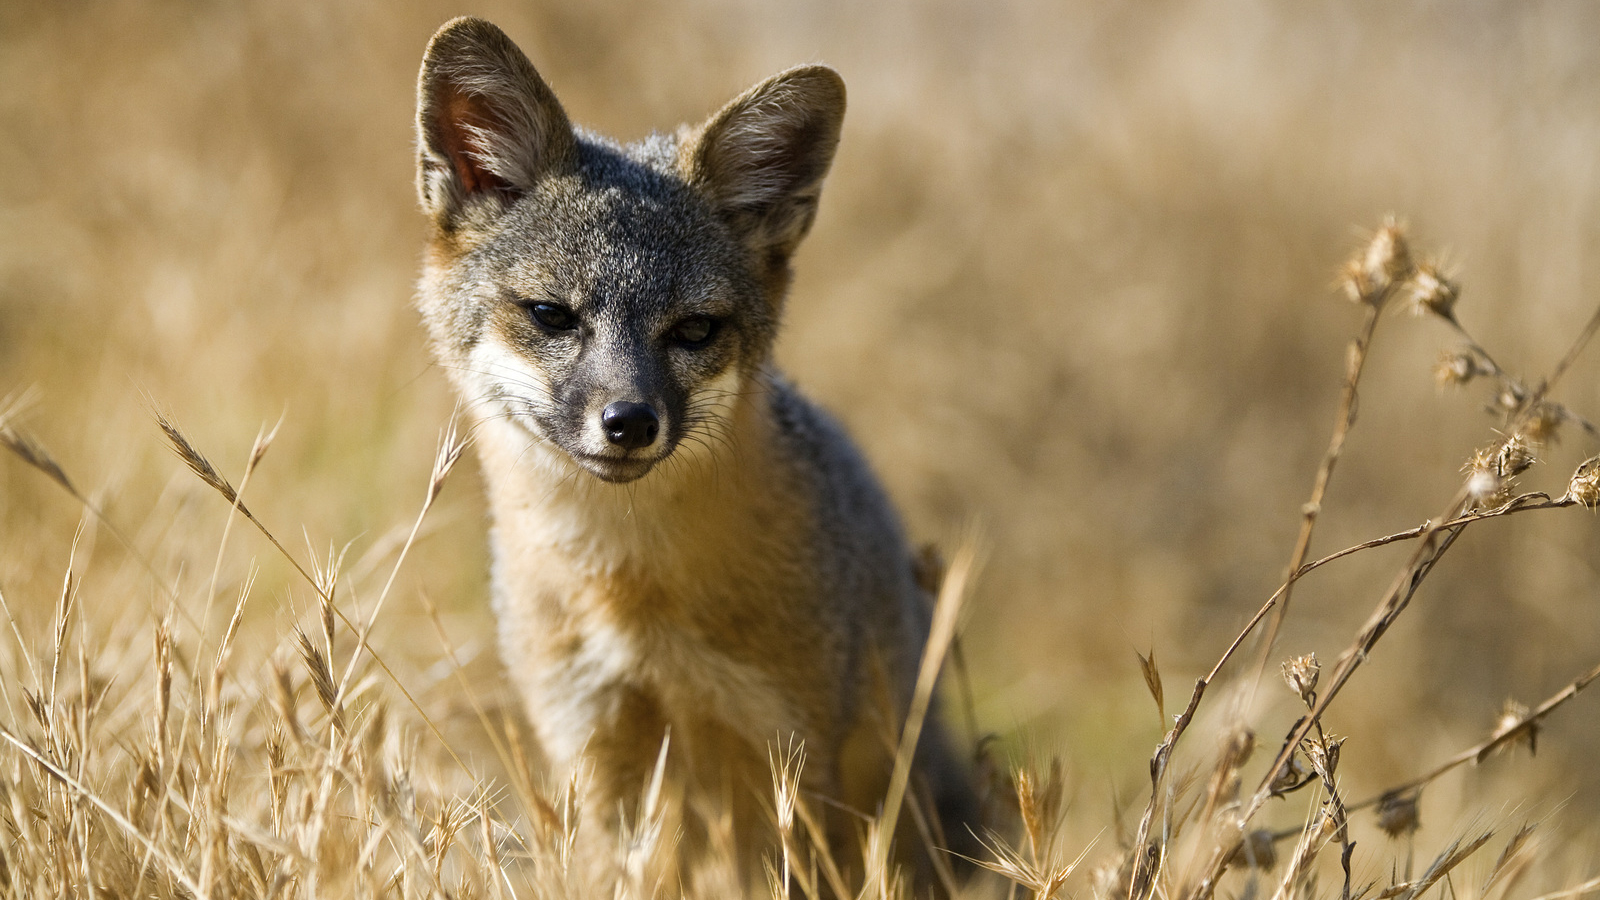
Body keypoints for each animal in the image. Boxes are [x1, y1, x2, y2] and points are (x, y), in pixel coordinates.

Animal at [416, 15, 972, 890]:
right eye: (551, 315)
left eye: (695, 330)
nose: (628, 421)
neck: (631, 588)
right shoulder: (593, 745)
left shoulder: (792, 756)